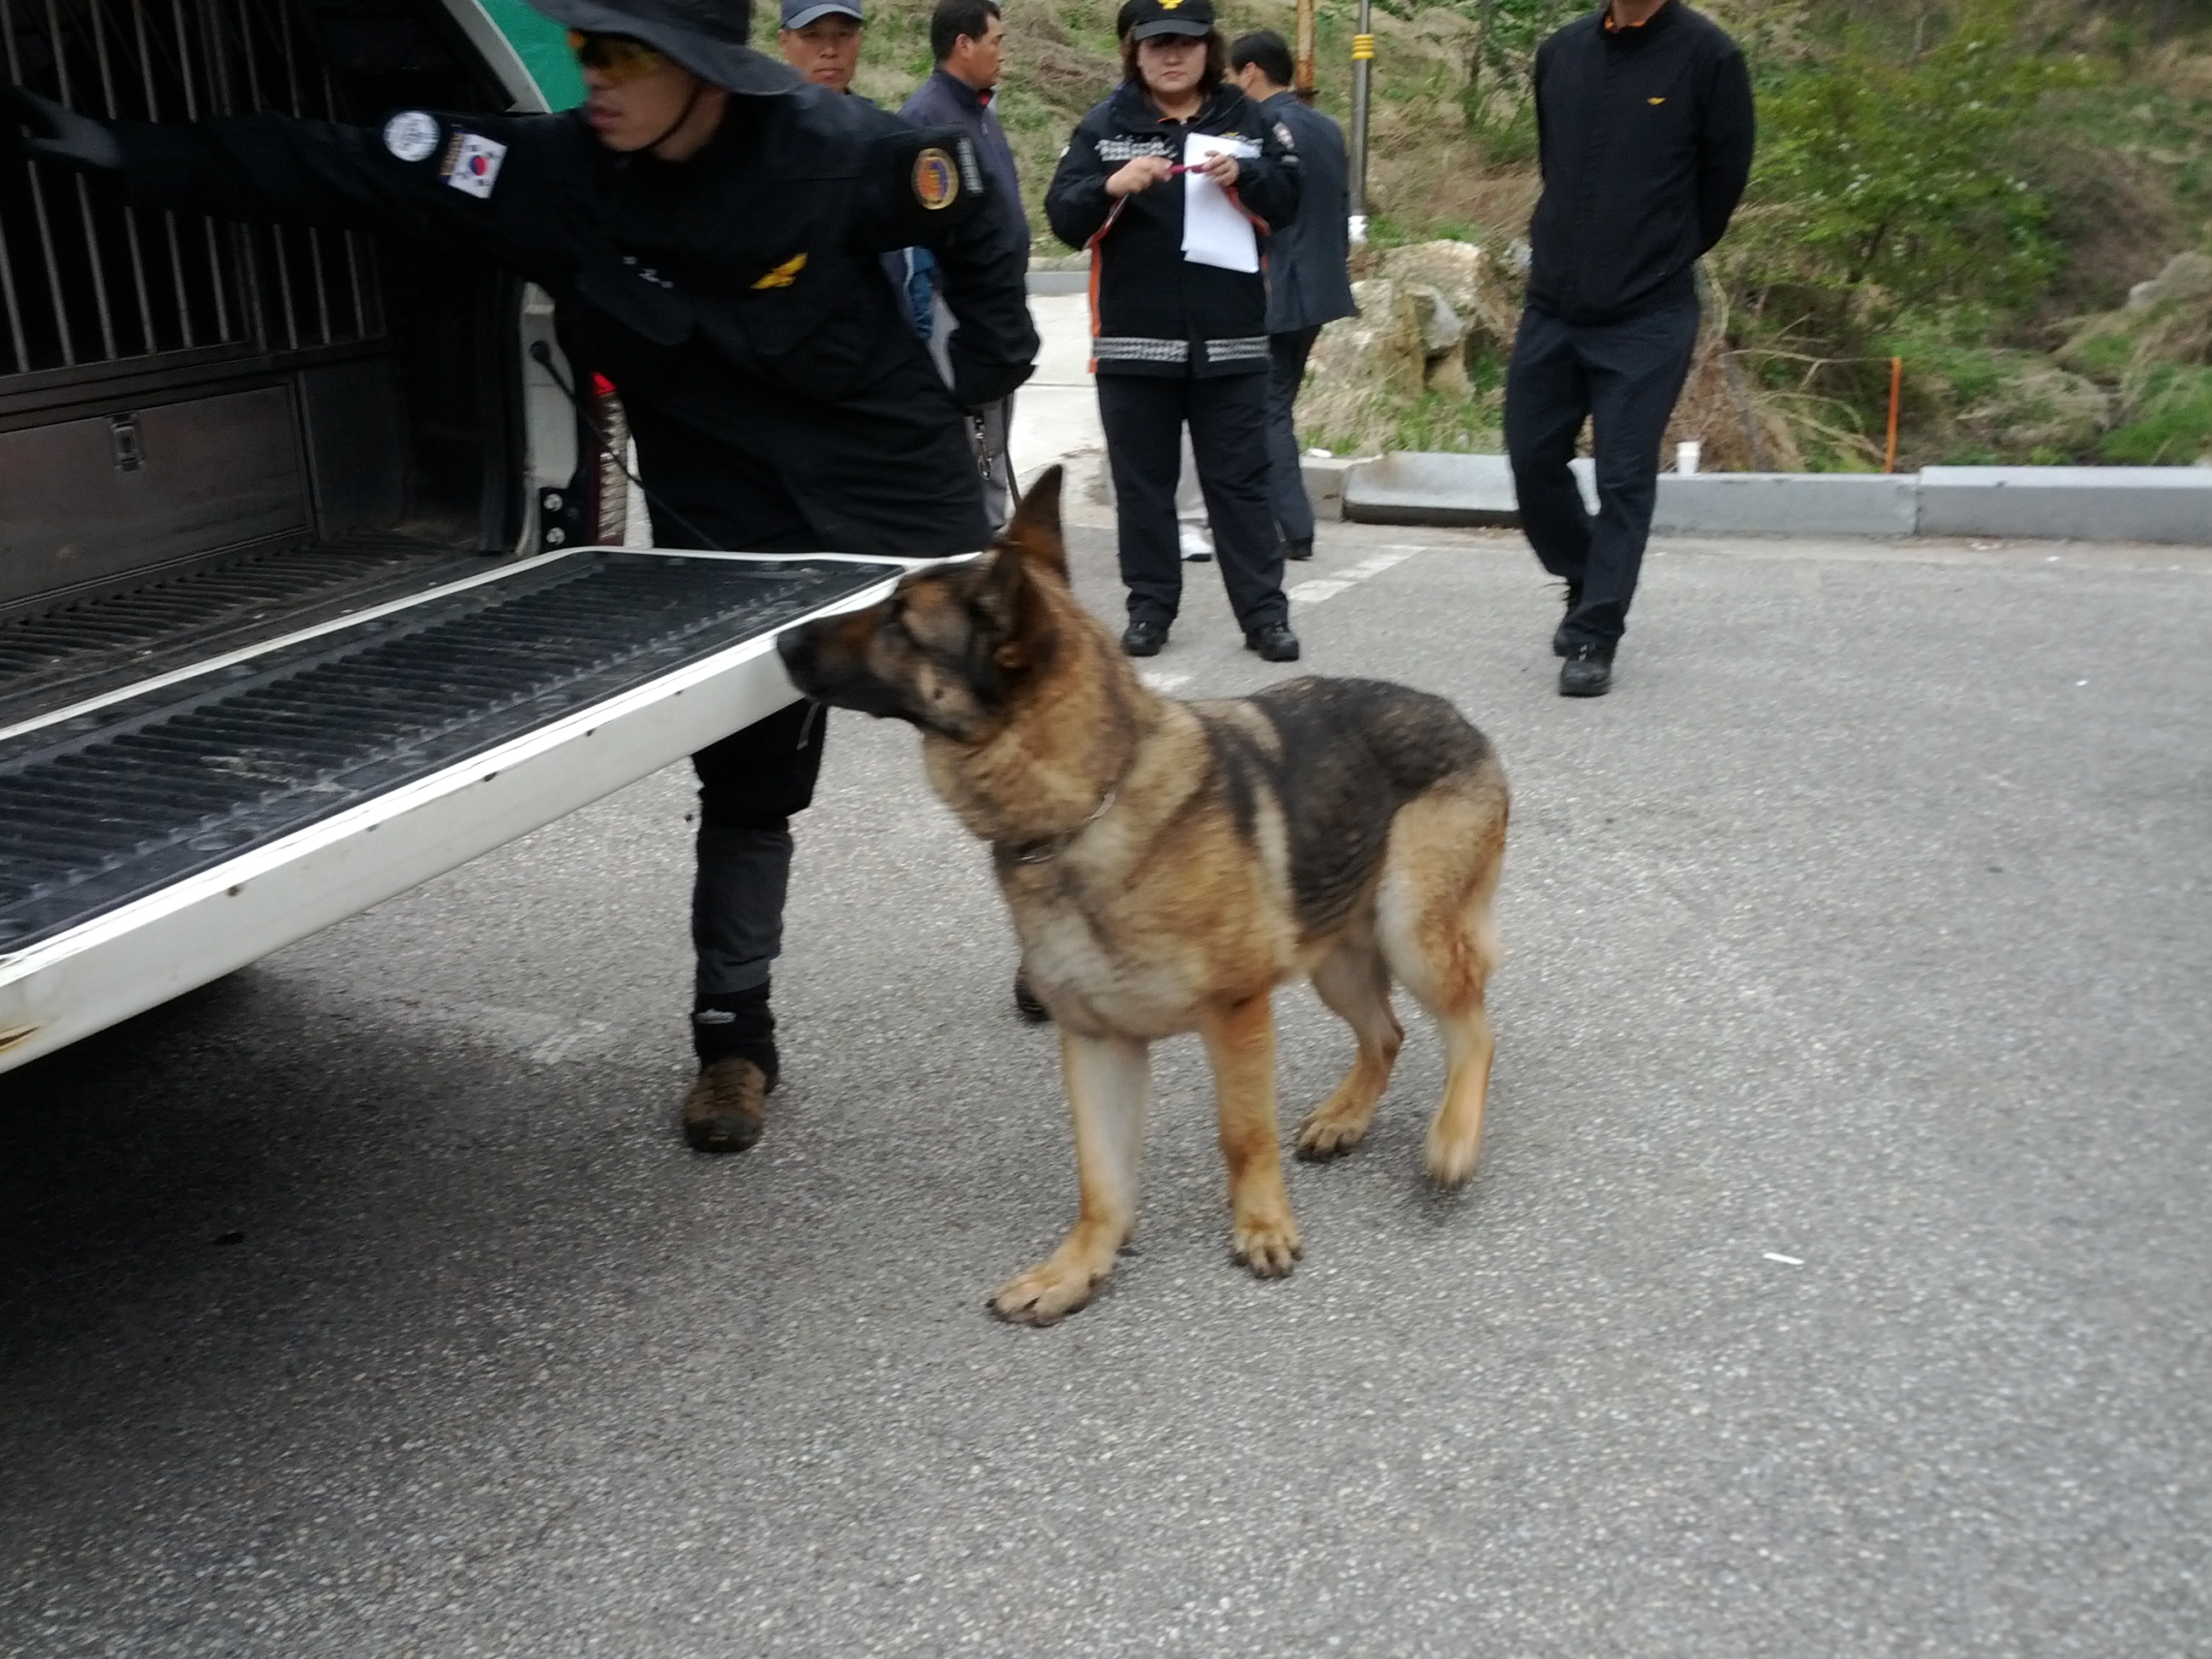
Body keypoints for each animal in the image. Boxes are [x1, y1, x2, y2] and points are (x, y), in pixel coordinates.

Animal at [777, 468, 1509, 1324]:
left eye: (898, 621)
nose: (781, 641)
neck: (1087, 807)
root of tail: (1455, 713)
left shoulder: (1237, 1017)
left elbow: (1243, 1134)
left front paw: (1263, 1226)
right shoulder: (1097, 1043)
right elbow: (1100, 1177)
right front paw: (1078, 1268)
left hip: (1409, 933)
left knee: (1472, 1033)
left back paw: (1453, 1138)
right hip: (1337, 959)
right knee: (1387, 1033)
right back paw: (1347, 1115)